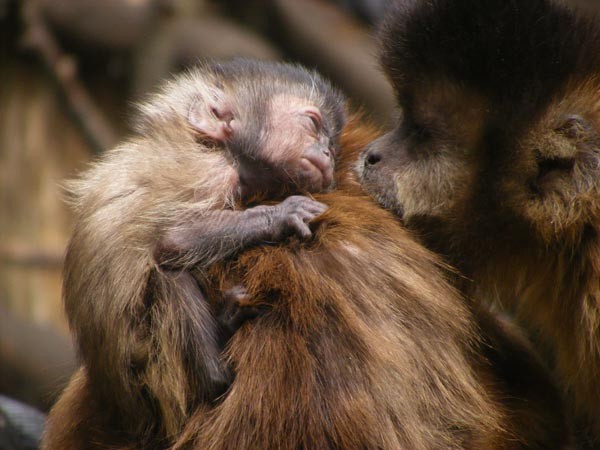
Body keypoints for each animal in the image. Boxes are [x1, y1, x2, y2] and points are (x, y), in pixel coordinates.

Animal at [62, 59, 344, 414]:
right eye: (312, 124)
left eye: (331, 144)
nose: (328, 154)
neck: (214, 148)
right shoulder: (213, 174)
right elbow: (174, 240)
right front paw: (281, 215)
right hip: (147, 358)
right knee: (168, 274)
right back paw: (216, 370)